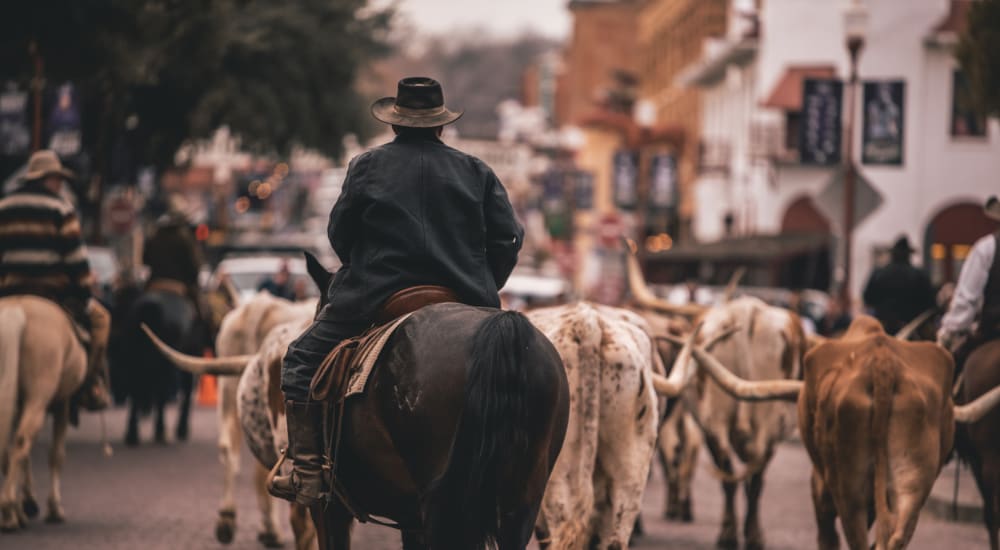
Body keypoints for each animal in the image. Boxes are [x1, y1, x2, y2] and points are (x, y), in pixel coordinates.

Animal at [0, 298, 100, 536]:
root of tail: (14, 310)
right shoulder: (62, 403)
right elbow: (56, 454)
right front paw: (54, 508)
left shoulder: (20, 403)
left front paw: (27, 504)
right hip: (40, 395)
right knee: (22, 442)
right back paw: (8, 512)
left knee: (12, 447)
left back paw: (13, 512)